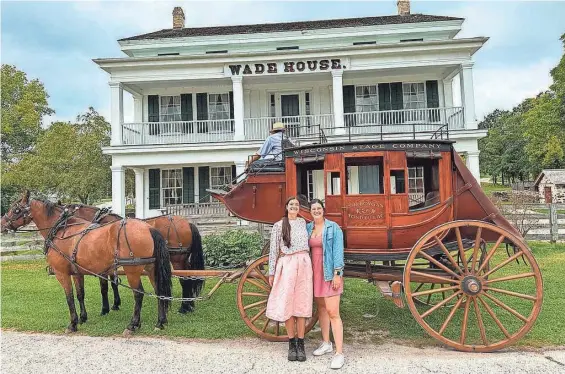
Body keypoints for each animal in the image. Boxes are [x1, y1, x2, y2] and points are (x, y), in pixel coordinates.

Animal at [1, 191, 171, 334]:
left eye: (16, 210)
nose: (2, 225)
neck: (62, 231)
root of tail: (148, 228)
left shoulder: (62, 273)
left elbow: (69, 297)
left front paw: (73, 323)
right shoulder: (77, 272)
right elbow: (80, 294)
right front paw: (83, 317)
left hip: (133, 271)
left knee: (138, 294)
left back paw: (133, 324)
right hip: (151, 268)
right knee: (159, 291)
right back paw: (160, 322)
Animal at [61, 203, 205, 314]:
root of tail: (188, 223)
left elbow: (105, 286)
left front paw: (105, 308)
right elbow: (113, 283)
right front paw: (116, 304)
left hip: (177, 259)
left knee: (184, 279)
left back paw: (184, 307)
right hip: (183, 258)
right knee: (190, 275)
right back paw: (190, 304)